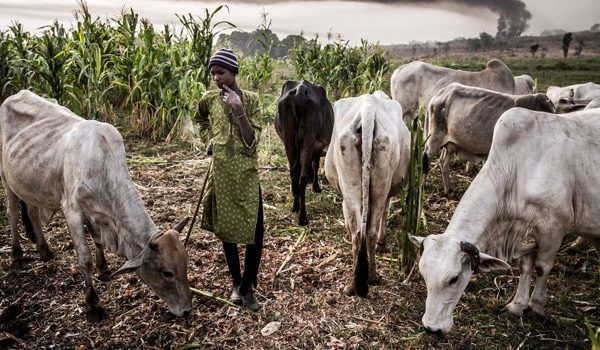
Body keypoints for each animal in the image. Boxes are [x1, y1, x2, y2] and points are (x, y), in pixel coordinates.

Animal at [0, 91, 192, 322]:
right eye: (167, 273)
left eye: (186, 262)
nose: (186, 310)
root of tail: (18, 93)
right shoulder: (72, 210)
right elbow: (85, 257)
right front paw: (93, 303)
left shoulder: (95, 214)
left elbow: (98, 241)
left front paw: (104, 269)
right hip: (6, 178)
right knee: (12, 213)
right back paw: (16, 253)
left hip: (32, 185)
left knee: (32, 211)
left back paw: (44, 249)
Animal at [276, 80, 336, 226]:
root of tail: (300, 91)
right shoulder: (317, 147)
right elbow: (315, 165)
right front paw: (316, 187)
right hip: (307, 140)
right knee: (301, 177)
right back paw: (303, 217)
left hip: (289, 141)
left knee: (294, 174)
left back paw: (295, 207)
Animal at [326, 91, 410, 296]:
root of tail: (368, 108)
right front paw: (382, 241)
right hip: (379, 182)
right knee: (367, 231)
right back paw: (369, 278)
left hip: (351, 184)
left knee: (359, 232)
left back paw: (356, 283)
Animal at [410, 106, 600, 334]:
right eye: (423, 275)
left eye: (454, 279)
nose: (432, 328)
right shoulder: (526, 231)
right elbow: (525, 268)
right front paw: (517, 306)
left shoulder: (553, 227)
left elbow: (542, 267)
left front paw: (537, 306)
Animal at [422, 82, 556, 197]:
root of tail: (439, 95)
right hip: (434, 138)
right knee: (426, 159)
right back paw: (424, 186)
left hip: (450, 144)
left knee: (444, 163)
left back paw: (448, 191)